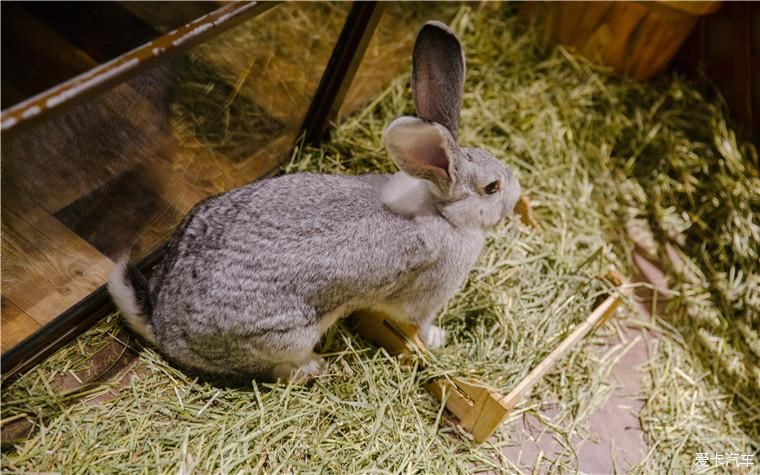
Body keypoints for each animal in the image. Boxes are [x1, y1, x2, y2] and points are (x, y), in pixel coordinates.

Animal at [110, 21, 520, 384]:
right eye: (492, 187)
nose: (516, 193)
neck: (442, 210)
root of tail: (163, 328)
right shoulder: (426, 296)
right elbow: (418, 321)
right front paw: (437, 338)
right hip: (287, 336)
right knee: (279, 372)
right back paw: (314, 367)